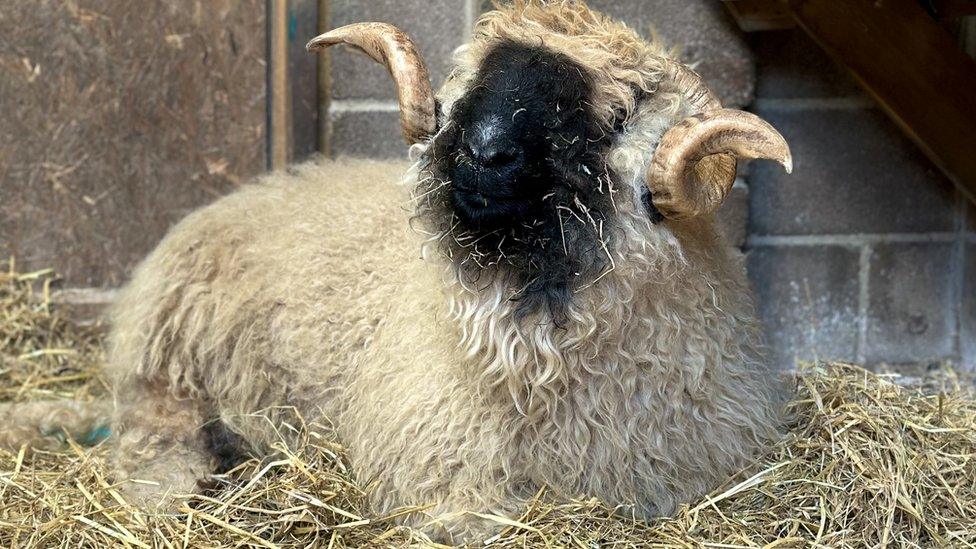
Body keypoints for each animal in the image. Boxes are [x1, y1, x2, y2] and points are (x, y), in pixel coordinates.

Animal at [1, 0, 792, 540]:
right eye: (476, 78)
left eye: (620, 113)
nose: (483, 152)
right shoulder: (442, 479)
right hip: (166, 366)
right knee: (146, 445)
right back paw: (192, 484)